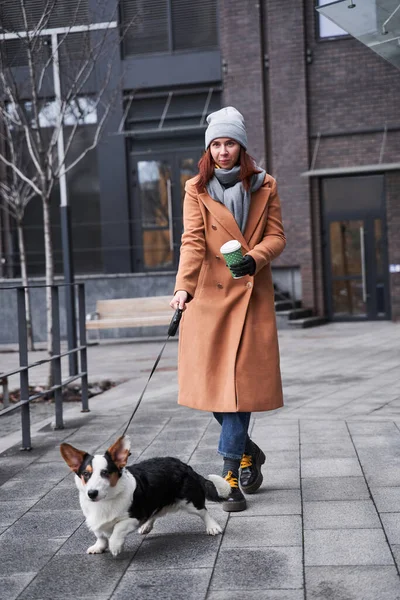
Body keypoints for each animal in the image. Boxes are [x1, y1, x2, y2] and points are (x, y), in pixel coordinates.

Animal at [59, 436, 228, 556]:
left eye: (105, 472)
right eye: (86, 474)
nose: (92, 493)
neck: (106, 500)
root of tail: (185, 466)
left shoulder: (133, 517)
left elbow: (118, 528)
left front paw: (114, 546)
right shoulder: (94, 521)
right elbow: (100, 535)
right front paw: (98, 547)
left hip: (190, 501)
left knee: (203, 511)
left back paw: (212, 527)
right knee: (154, 512)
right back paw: (146, 526)